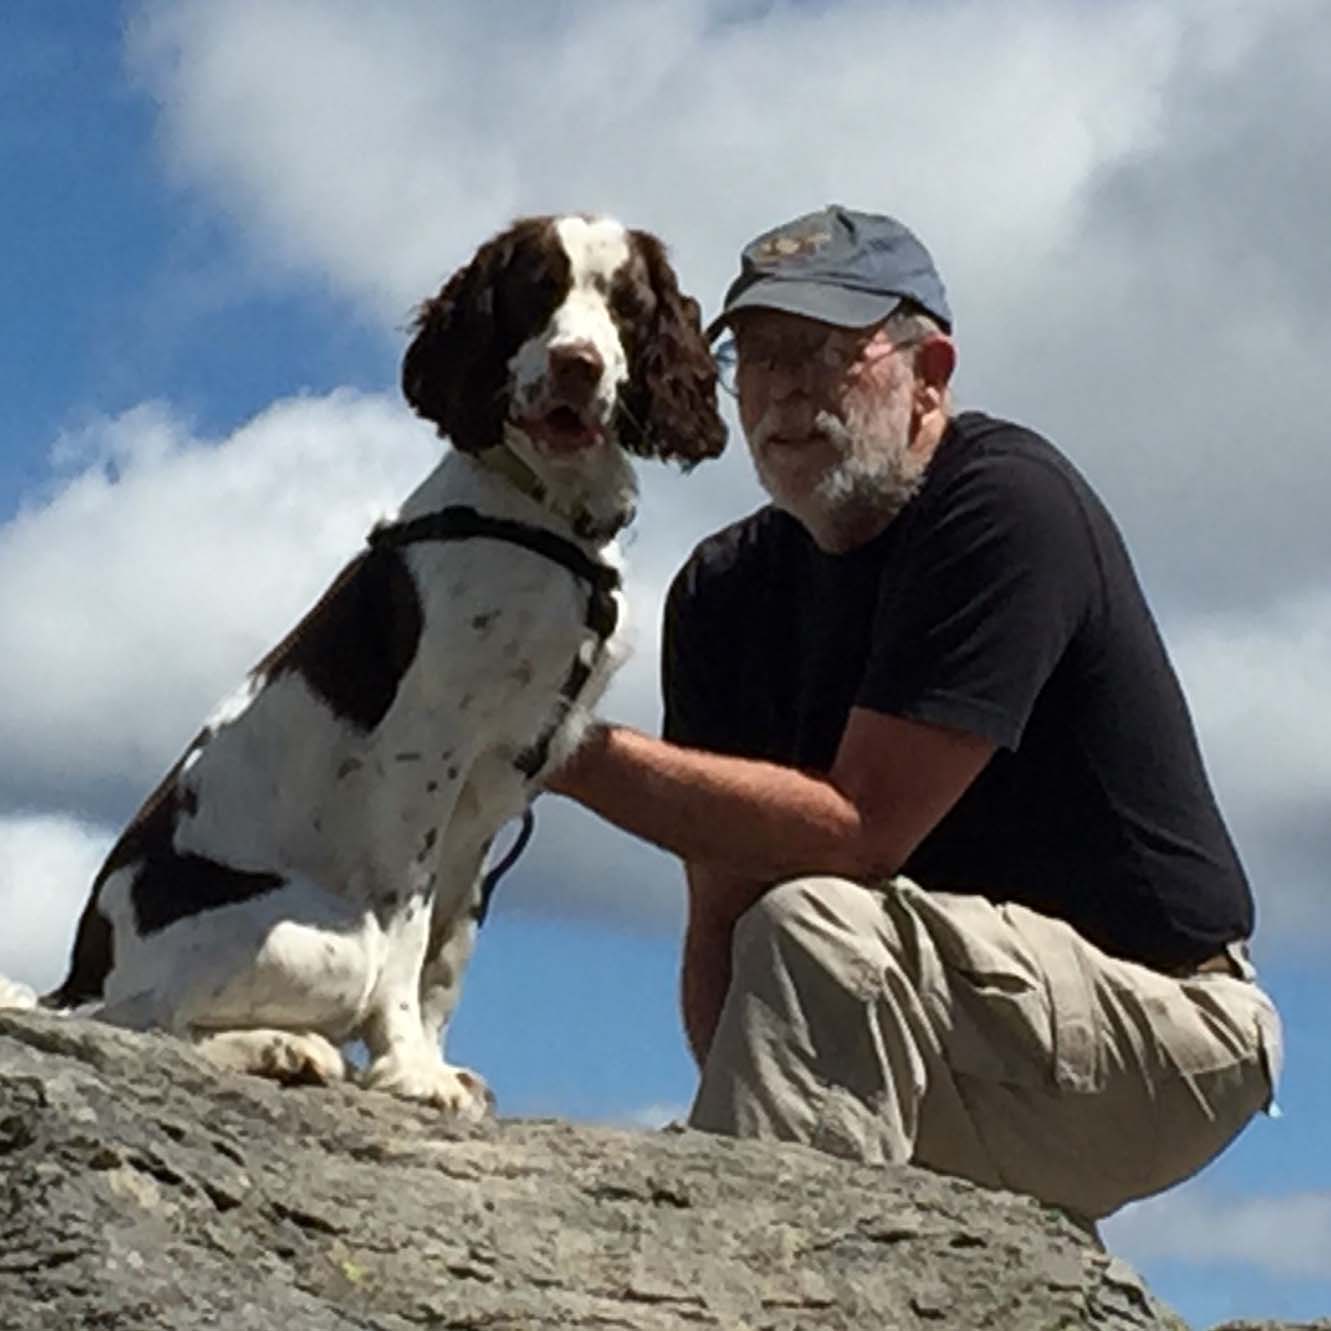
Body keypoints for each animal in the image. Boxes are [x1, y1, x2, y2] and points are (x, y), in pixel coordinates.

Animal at [0, 212, 729, 1118]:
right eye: (537, 288)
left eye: (627, 302)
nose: (577, 365)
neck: (543, 515)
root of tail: (82, 964)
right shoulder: (425, 753)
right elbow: (410, 931)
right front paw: (411, 1069)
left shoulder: (503, 785)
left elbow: (449, 951)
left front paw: (434, 1060)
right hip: (324, 937)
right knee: (132, 1016)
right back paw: (283, 1047)